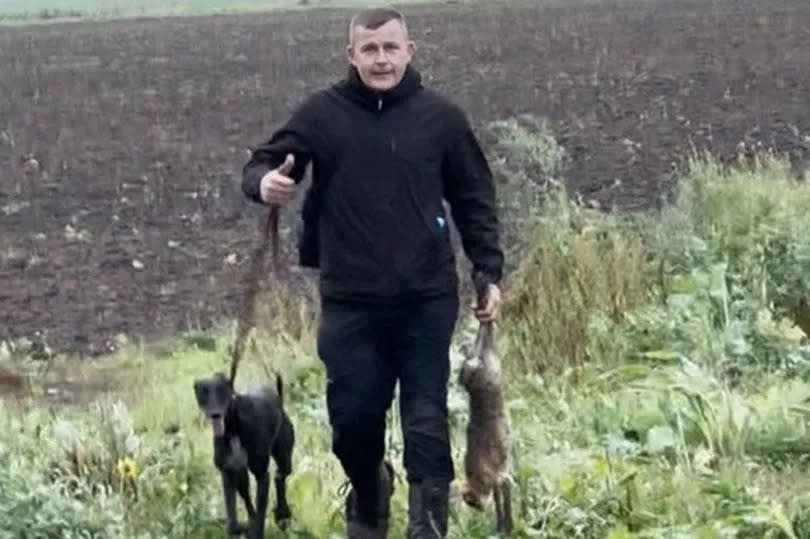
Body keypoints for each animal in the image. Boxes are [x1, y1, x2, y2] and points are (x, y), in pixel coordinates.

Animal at [194, 374, 296, 536]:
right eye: (203, 392)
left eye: (222, 390)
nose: (215, 414)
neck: (233, 427)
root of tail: (278, 397)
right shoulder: (228, 472)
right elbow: (233, 523)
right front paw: (243, 527)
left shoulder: (262, 475)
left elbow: (260, 516)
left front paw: (256, 530)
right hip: (241, 474)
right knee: (248, 495)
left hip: (284, 458)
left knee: (280, 477)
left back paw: (282, 513)